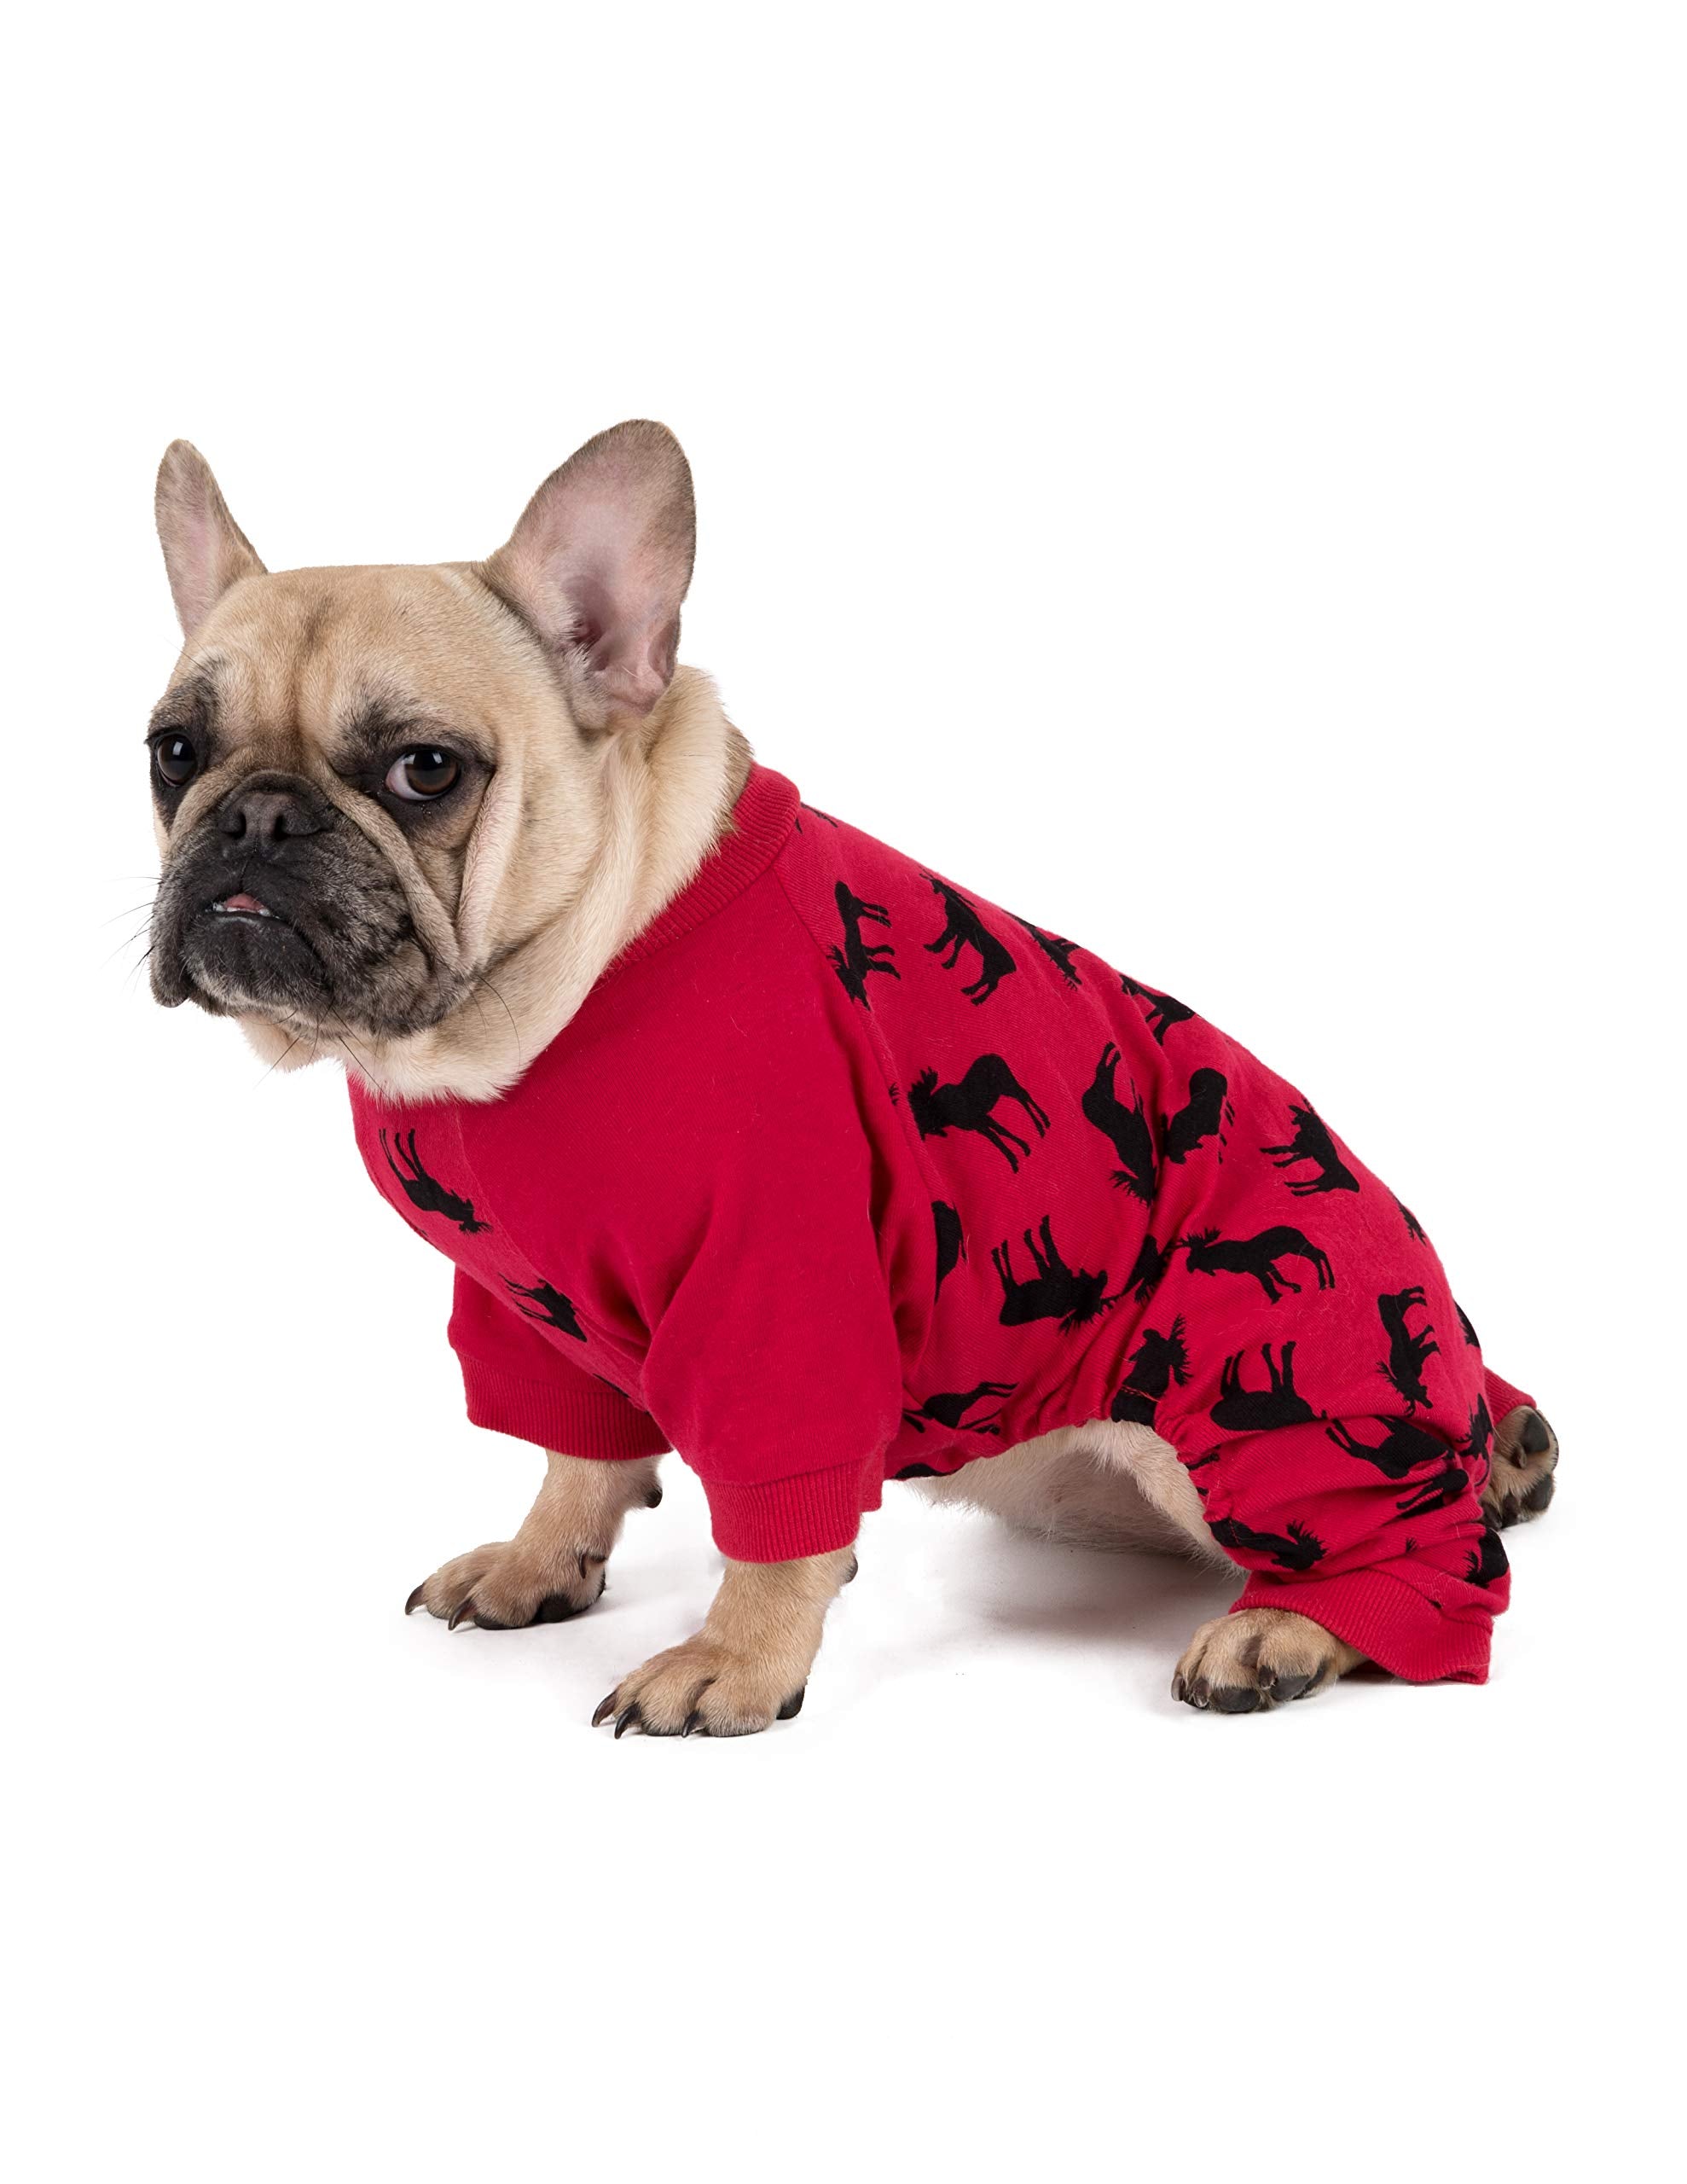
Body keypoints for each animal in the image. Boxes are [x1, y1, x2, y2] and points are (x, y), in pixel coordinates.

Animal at [909, 1053, 1050, 1172]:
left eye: (920, 1111)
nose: (920, 1132)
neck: (944, 1117)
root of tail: (995, 1056)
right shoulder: (980, 1122)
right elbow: (998, 1134)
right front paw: (1020, 1152)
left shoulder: (979, 1120)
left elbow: (997, 1136)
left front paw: (1016, 1158)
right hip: (1006, 1089)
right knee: (1023, 1097)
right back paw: (1042, 1125)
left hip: (1008, 1084)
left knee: (1024, 1096)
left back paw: (1043, 1124)